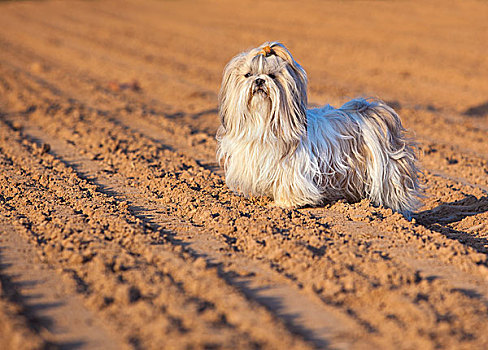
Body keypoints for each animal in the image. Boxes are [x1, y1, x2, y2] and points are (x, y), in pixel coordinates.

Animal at [215, 41, 422, 216]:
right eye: (248, 74)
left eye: (272, 75)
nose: (259, 80)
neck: (263, 123)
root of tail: (371, 112)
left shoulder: (292, 169)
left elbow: (289, 185)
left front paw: (284, 204)